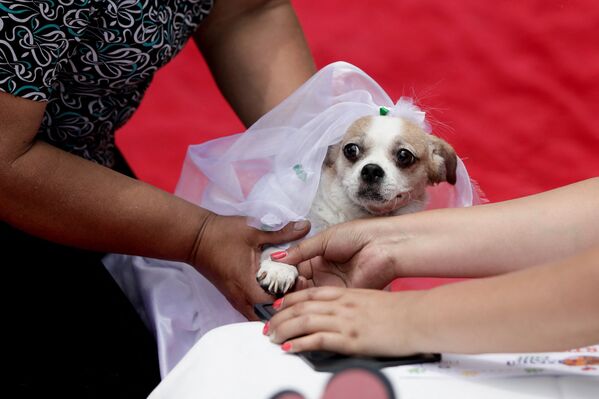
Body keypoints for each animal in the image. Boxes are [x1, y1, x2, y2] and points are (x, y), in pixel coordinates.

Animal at [255, 114, 458, 296]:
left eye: (404, 155)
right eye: (351, 150)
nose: (372, 170)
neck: (356, 214)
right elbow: (286, 244)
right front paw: (279, 267)